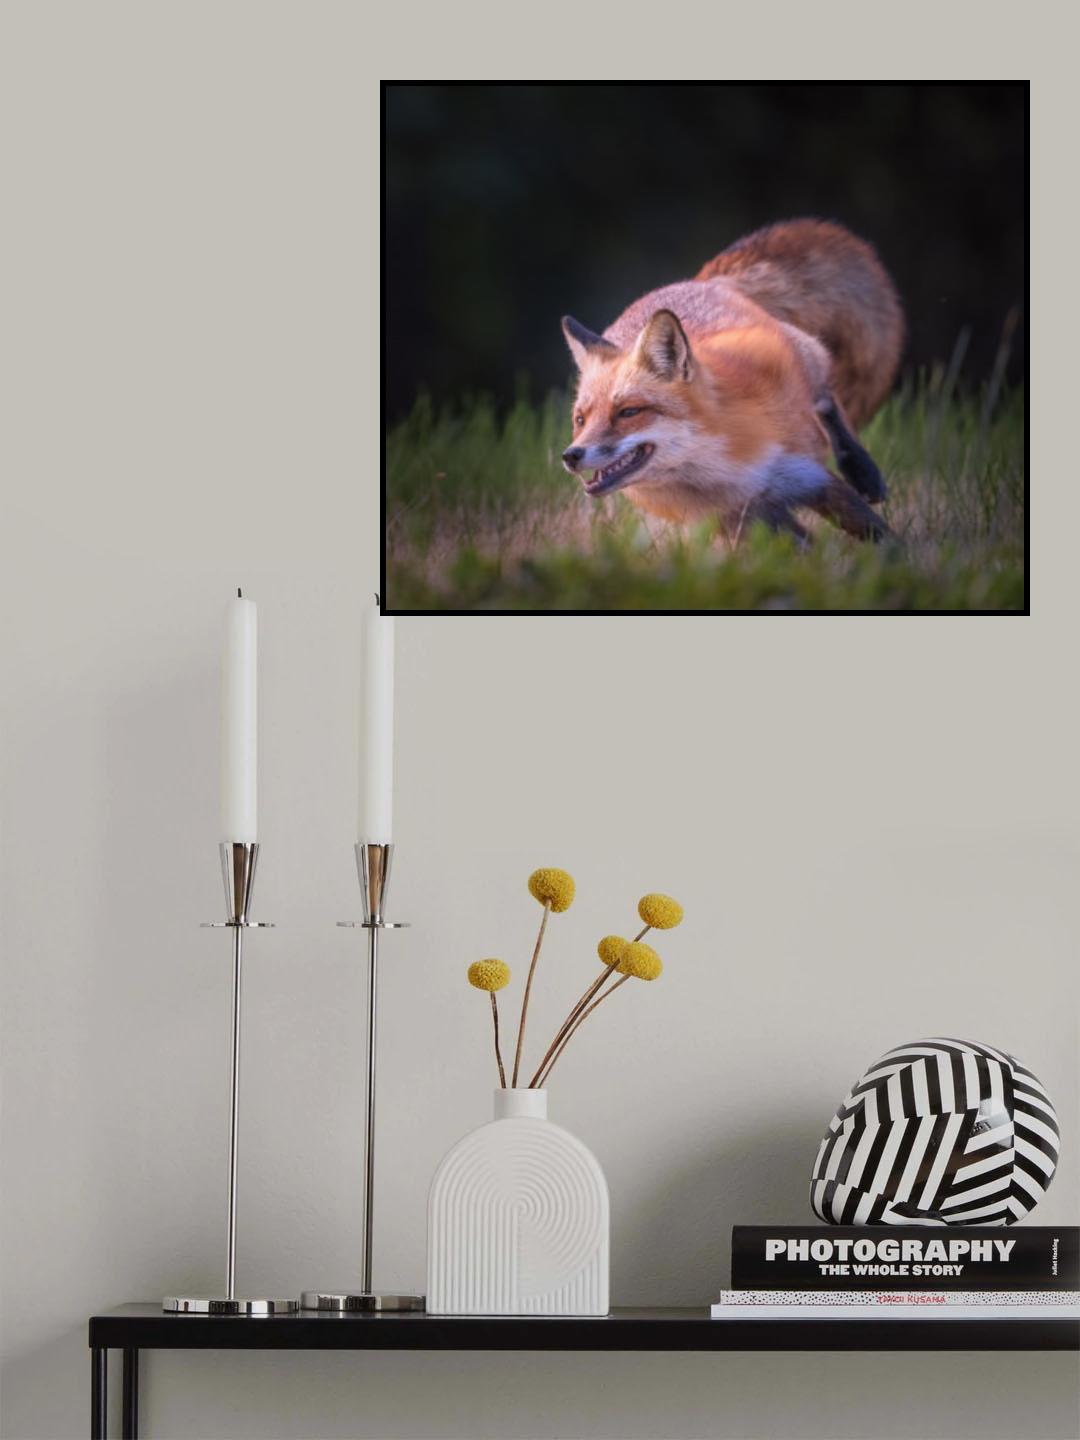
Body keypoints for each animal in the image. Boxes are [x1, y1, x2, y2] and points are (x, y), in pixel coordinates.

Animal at [560, 219, 904, 543]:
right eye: (580, 420)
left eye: (629, 412)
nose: (571, 455)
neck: (722, 473)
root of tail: (695, 281)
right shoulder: (744, 519)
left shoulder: (809, 475)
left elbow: (877, 533)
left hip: (805, 353)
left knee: (825, 400)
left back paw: (863, 472)